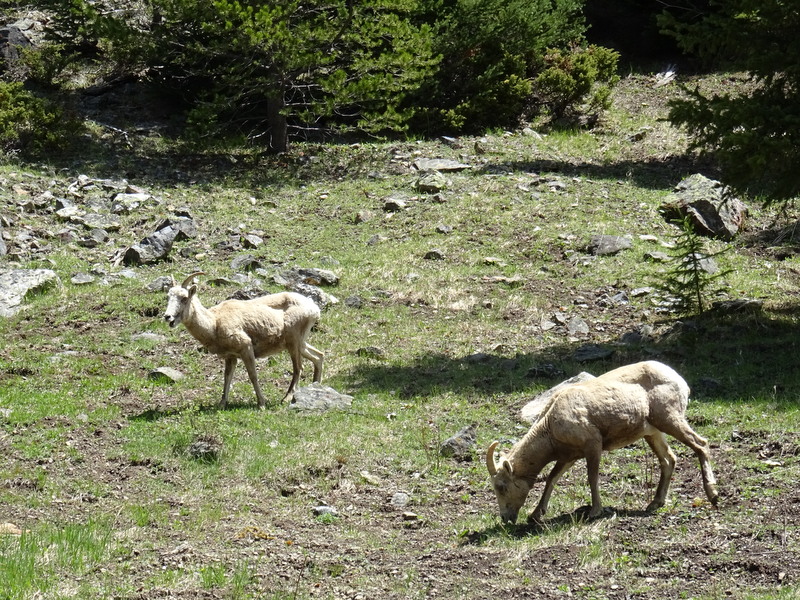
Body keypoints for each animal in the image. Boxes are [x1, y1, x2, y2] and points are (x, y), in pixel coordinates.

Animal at [162, 274, 324, 408]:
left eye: (184, 298)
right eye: (168, 297)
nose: (168, 317)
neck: (214, 323)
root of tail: (314, 309)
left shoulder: (246, 348)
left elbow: (253, 376)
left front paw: (261, 404)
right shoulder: (230, 357)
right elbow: (227, 378)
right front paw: (221, 404)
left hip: (294, 342)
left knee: (299, 368)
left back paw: (286, 398)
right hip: (299, 343)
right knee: (318, 356)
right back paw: (315, 386)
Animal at [484, 358, 720, 524]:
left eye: (501, 486)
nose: (506, 518)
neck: (550, 423)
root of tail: (680, 381)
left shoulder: (593, 445)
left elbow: (592, 477)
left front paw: (594, 511)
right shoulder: (569, 457)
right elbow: (552, 478)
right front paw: (535, 515)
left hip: (670, 419)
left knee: (701, 444)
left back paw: (713, 495)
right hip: (652, 432)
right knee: (669, 459)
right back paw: (655, 503)